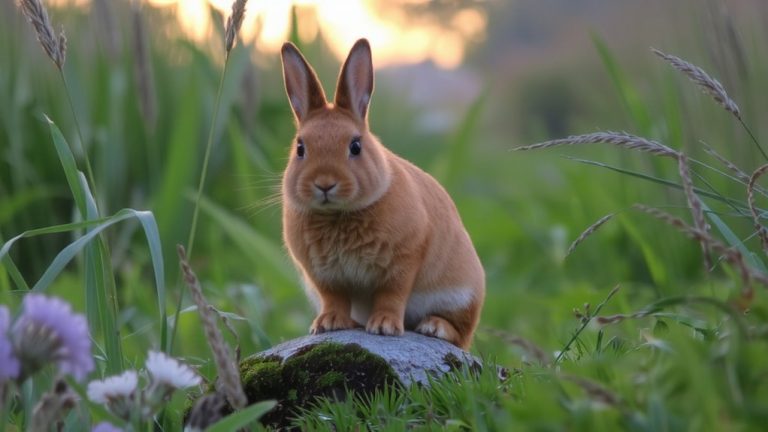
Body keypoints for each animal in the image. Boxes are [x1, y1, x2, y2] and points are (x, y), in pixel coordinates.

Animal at [280, 38, 485, 350]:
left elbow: (392, 295)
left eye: (355, 146)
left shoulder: (403, 260)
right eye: (300, 148)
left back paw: (433, 327)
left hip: (461, 296)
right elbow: (334, 298)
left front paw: (384, 326)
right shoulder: (323, 276)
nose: (324, 183)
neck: (338, 215)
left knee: (460, 333)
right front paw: (328, 324)